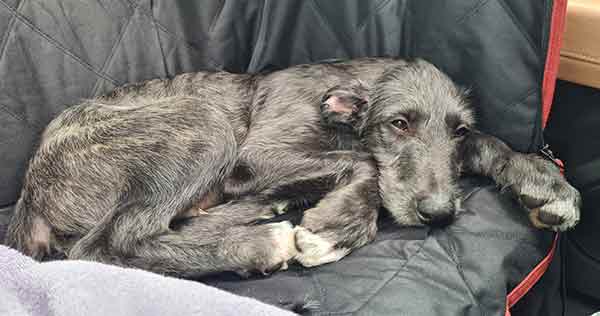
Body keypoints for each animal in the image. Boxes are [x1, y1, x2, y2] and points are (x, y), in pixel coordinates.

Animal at [3, 58, 576, 278]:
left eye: (456, 131)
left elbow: (488, 143)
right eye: (398, 124)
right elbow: (364, 161)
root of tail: (31, 189)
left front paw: (544, 183)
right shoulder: (255, 156)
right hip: (203, 123)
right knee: (110, 243)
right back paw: (256, 242)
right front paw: (339, 227)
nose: (438, 213)